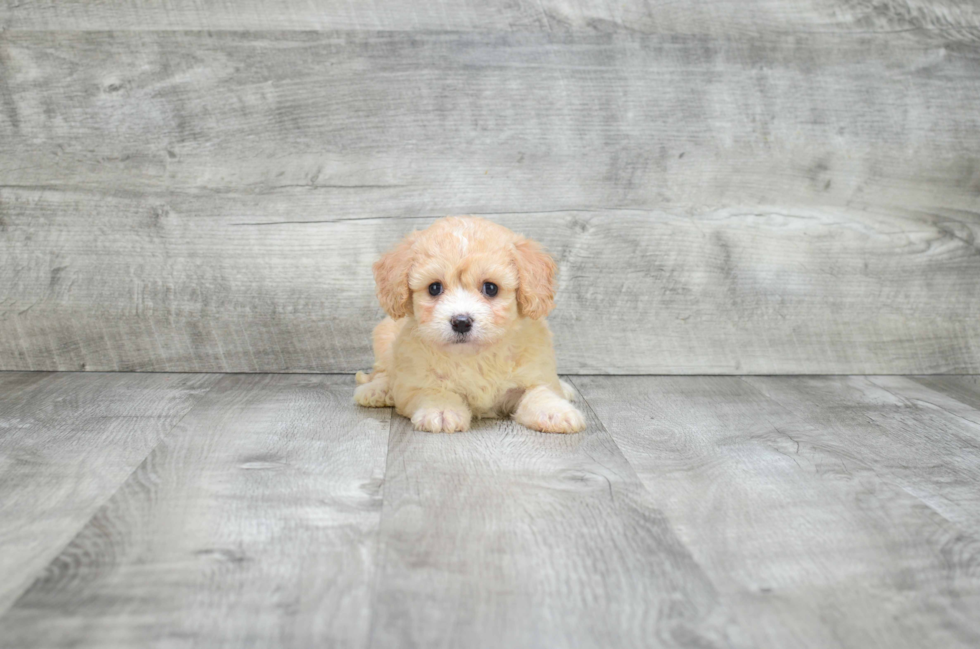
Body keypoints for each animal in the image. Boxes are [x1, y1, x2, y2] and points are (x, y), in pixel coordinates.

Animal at [352, 215, 580, 432]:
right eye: (434, 288)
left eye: (491, 288)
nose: (461, 322)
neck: (474, 356)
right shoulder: (413, 382)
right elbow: (432, 390)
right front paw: (442, 410)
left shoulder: (534, 371)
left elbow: (541, 391)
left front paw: (554, 412)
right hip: (384, 337)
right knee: (382, 372)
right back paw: (376, 390)